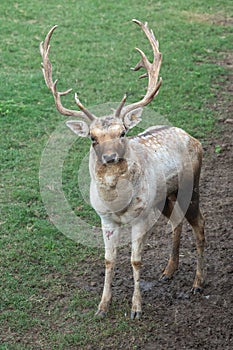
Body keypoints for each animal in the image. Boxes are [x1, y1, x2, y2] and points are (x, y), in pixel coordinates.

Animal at [40, 19, 206, 320]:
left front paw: (136, 308)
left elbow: (136, 260)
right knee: (176, 222)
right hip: (167, 197)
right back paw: (168, 270)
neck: (117, 203)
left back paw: (198, 283)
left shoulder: (141, 217)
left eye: (123, 132)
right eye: (92, 137)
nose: (110, 158)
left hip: (192, 186)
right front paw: (102, 307)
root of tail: (192, 137)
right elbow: (109, 259)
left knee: (200, 224)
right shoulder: (105, 219)